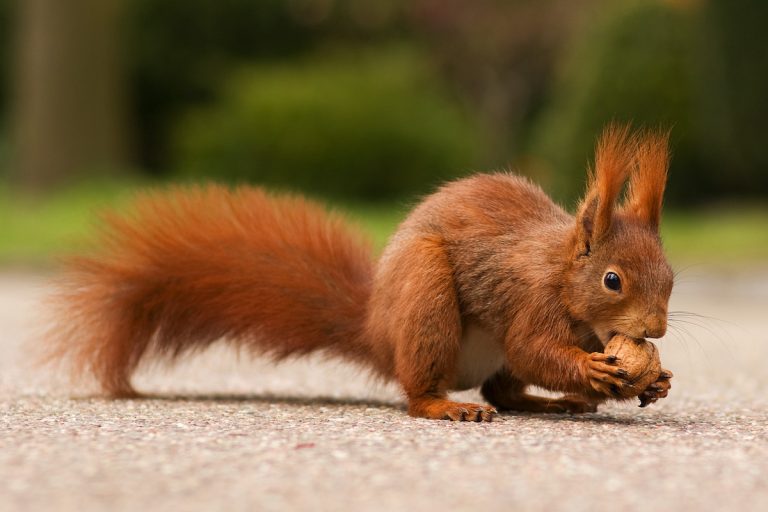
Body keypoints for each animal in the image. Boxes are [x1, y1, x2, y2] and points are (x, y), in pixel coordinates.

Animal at [46, 124, 672, 420]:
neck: (563, 276)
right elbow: (532, 348)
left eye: (669, 275)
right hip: (426, 298)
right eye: (613, 280)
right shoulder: (530, 300)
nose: (657, 331)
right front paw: (593, 371)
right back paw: (447, 406)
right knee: (433, 388)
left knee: (505, 388)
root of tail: (378, 331)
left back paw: (548, 403)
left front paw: (655, 380)